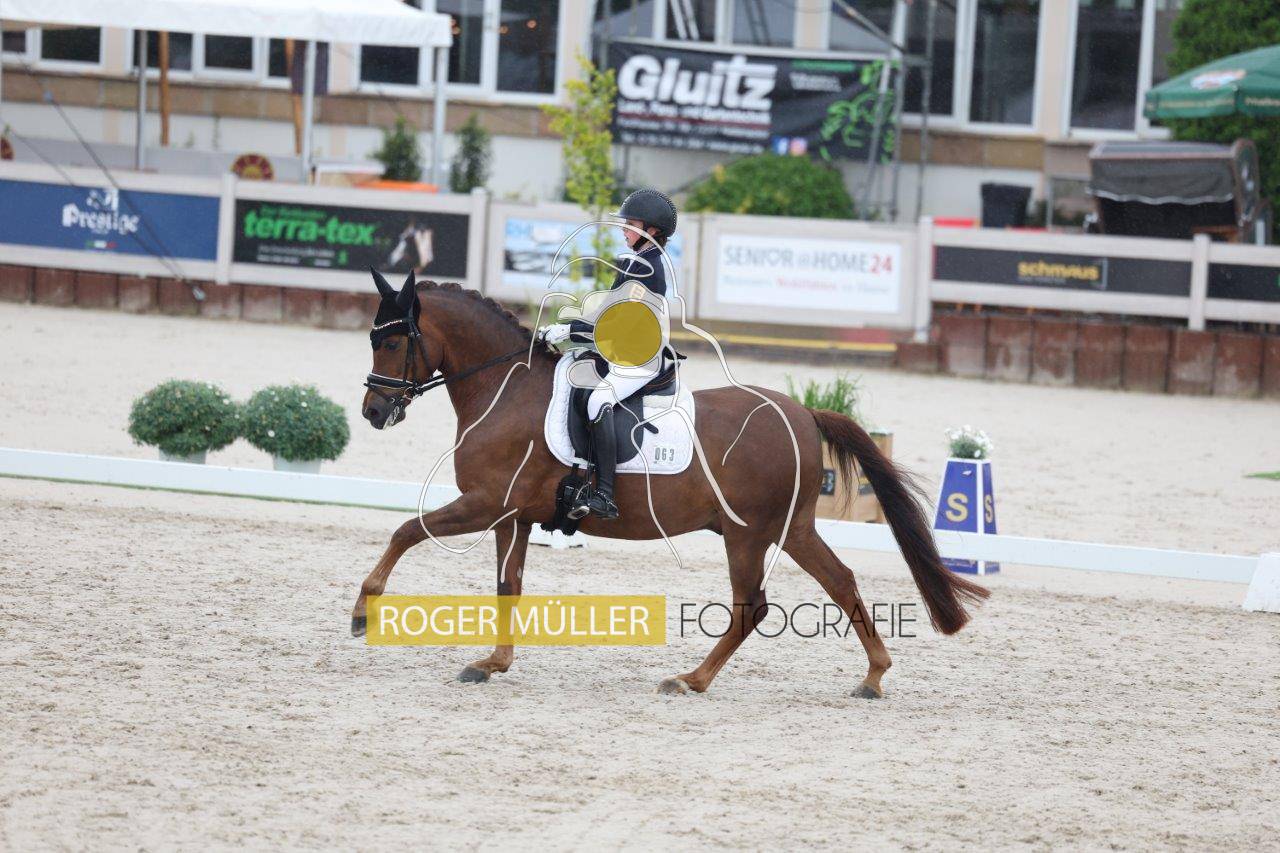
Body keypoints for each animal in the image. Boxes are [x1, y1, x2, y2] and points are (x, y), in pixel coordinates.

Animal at [354, 271, 988, 697]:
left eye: (392, 341)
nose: (373, 412)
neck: (503, 390)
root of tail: (804, 414)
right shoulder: (513, 516)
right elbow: (508, 585)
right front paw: (492, 663)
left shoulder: (486, 504)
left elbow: (407, 529)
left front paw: (365, 608)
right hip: (791, 528)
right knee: (839, 580)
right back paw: (872, 676)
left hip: (749, 533)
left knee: (752, 606)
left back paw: (691, 679)